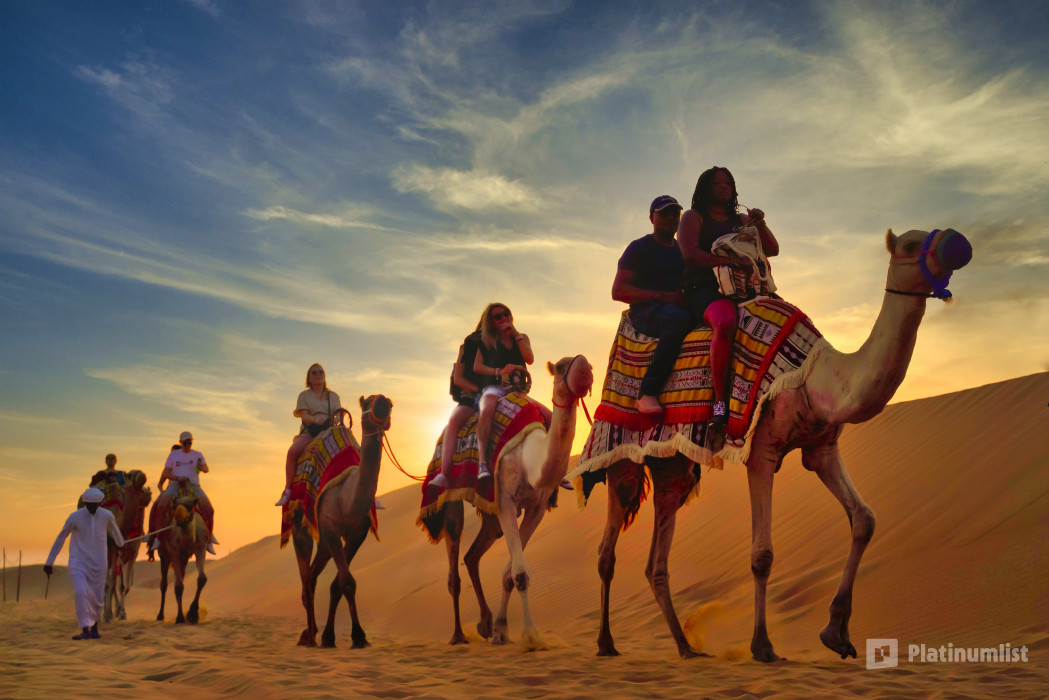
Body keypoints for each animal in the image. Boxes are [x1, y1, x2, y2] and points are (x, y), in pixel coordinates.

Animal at [155, 487, 209, 624]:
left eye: (190, 506)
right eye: (174, 506)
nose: (178, 517)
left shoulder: (200, 547)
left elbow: (202, 578)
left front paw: (193, 614)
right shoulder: (173, 549)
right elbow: (178, 586)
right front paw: (180, 617)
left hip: (184, 557)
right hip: (164, 554)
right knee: (164, 584)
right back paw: (160, 615)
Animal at [294, 394, 392, 648]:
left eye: (388, 403)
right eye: (367, 401)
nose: (384, 402)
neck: (349, 498)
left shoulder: (358, 532)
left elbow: (339, 583)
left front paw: (331, 636)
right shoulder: (330, 527)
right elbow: (346, 581)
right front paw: (357, 636)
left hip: (324, 542)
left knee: (312, 576)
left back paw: (312, 633)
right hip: (302, 521)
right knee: (305, 575)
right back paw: (309, 637)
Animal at [437, 355, 594, 646]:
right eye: (561, 367)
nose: (585, 367)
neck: (529, 458)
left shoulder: (536, 508)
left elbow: (510, 574)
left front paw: (501, 630)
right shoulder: (506, 500)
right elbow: (520, 574)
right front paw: (531, 635)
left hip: (489, 515)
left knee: (472, 556)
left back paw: (484, 623)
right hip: (453, 498)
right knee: (454, 563)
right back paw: (458, 635)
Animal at [584, 228, 972, 660]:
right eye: (910, 245)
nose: (957, 242)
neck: (817, 377)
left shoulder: (822, 448)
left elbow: (864, 519)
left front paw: (836, 633)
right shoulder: (762, 452)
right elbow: (762, 555)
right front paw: (763, 646)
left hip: (673, 466)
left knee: (657, 559)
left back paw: (686, 647)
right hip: (620, 452)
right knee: (607, 550)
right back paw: (606, 643)